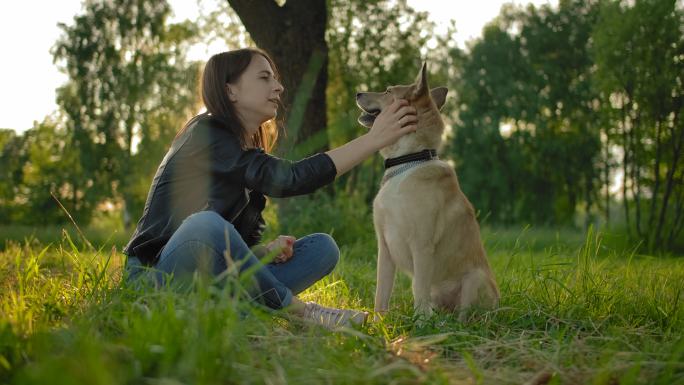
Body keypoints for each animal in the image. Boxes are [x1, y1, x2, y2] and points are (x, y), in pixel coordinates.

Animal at [356, 63, 500, 320]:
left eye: (388, 91)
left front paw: (420, 323)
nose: (357, 92)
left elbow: (418, 289)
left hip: (475, 279)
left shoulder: (421, 245)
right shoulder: (385, 247)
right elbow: (382, 291)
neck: (409, 161)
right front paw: (378, 322)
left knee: (465, 314)